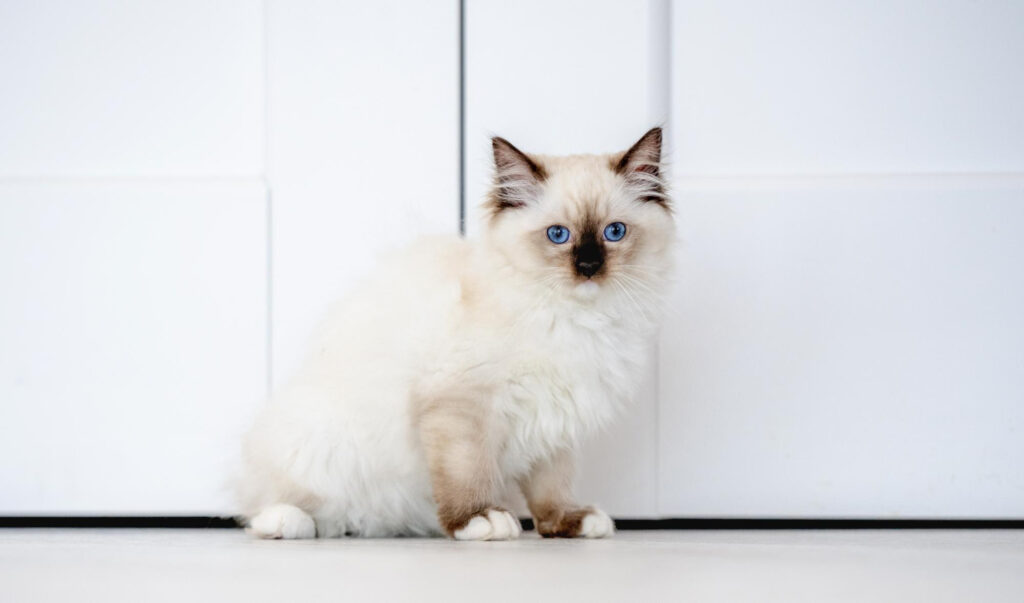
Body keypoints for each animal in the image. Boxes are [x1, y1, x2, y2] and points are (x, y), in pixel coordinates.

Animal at [235, 124, 675, 536]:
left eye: (614, 232)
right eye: (558, 235)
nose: (588, 266)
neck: (576, 320)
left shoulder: (557, 419)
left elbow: (552, 487)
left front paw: (568, 522)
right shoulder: (463, 403)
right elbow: (467, 471)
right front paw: (478, 520)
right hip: (320, 442)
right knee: (269, 504)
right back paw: (287, 522)